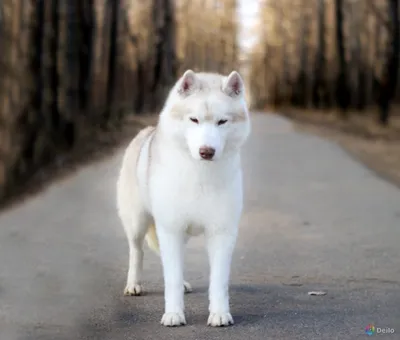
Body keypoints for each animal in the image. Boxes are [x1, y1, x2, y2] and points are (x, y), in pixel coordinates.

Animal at [115, 68, 252, 326]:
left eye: (222, 121)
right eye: (194, 120)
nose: (206, 151)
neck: (200, 174)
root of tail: (146, 132)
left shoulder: (221, 231)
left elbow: (218, 281)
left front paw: (219, 314)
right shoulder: (170, 229)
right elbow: (172, 279)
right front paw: (173, 314)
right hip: (138, 223)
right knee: (136, 252)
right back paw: (134, 285)